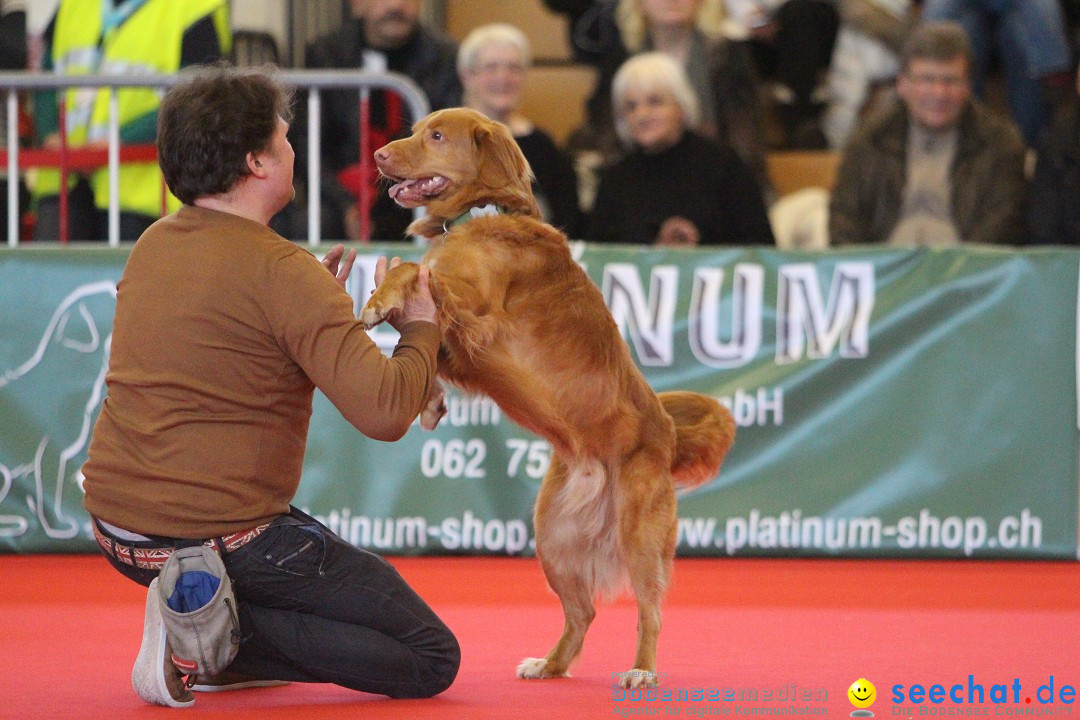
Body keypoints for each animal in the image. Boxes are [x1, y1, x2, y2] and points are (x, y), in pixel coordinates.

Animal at [362, 108, 734, 690]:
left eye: (436, 136)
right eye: (418, 128)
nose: (378, 155)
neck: (479, 214)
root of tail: (669, 435)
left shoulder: (479, 313)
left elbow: (411, 269)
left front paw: (380, 298)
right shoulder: (464, 341)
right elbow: (426, 331)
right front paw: (430, 400)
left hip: (640, 534)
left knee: (650, 609)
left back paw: (642, 670)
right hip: (552, 536)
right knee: (582, 611)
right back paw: (551, 664)